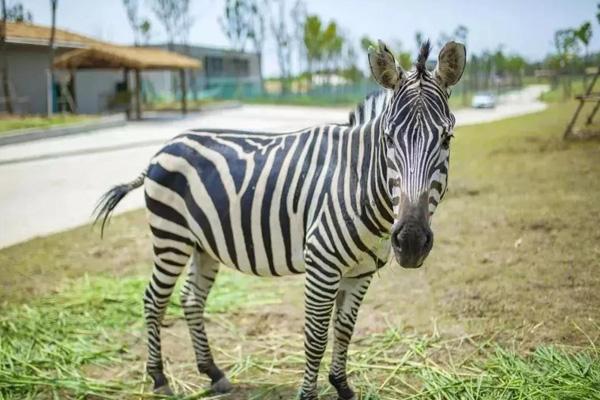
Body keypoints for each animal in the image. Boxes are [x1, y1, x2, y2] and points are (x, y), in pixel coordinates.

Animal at [96, 39, 466, 398]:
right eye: (388, 138)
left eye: (447, 138)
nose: (411, 242)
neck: (357, 182)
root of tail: (164, 148)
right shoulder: (321, 265)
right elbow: (316, 337)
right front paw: (309, 394)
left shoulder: (360, 273)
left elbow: (344, 330)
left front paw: (342, 386)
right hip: (170, 237)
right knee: (154, 300)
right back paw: (159, 378)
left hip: (203, 244)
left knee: (191, 300)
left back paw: (213, 373)